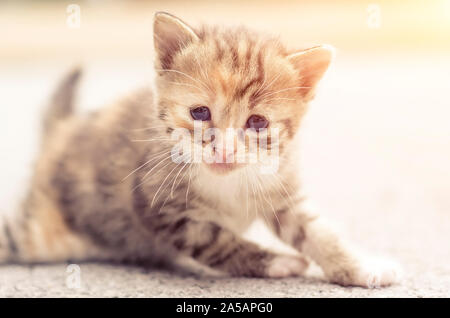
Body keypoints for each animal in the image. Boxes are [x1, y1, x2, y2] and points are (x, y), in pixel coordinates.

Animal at [0, 11, 400, 286]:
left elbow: (317, 231)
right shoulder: (160, 206)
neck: (228, 184)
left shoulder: (282, 186)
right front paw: (279, 262)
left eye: (257, 122)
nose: (223, 150)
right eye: (200, 113)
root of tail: (61, 132)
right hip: (38, 230)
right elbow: (218, 240)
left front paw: (361, 267)